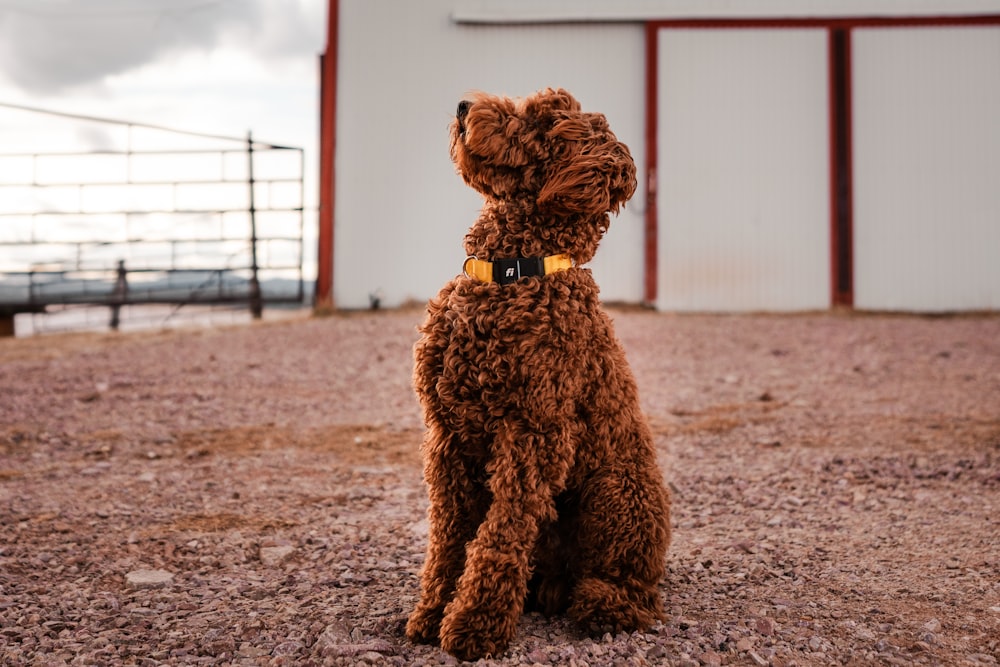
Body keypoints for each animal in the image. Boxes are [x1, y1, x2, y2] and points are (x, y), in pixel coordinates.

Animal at [406, 88, 672, 664]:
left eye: (542, 121)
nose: (463, 106)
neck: (511, 274)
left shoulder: (533, 432)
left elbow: (498, 535)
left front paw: (473, 625)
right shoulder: (446, 435)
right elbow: (448, 537)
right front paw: (431, 612)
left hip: (617, 492)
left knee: (632, 587)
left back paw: (601, 606)